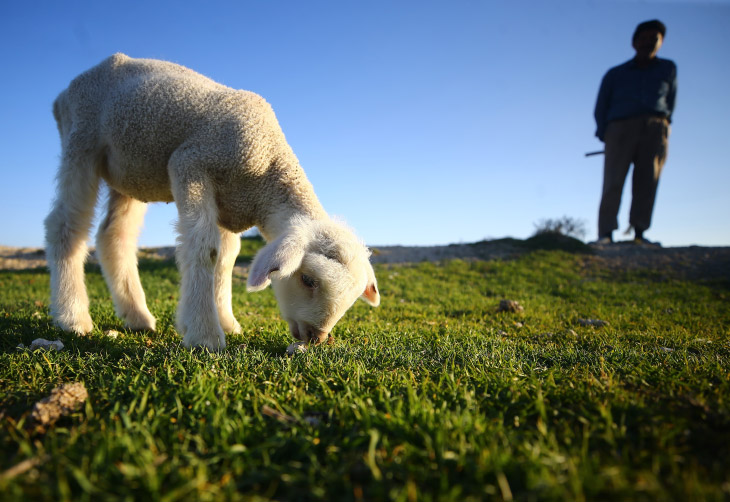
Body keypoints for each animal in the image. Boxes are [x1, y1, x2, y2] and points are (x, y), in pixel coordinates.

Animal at [44, 51, 382, 350]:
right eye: (308, 280)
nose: (316, 337)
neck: (266, 168)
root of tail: (62, 95)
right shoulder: (190, 164)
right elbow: (205, 249)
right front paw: (204, 333)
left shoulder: (229, 204)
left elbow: (227, 257)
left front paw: (227, 322)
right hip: (82, 140)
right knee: (65, 226)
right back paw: (72, 317)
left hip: (130, 171)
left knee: (114, 236)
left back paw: (137, 316)